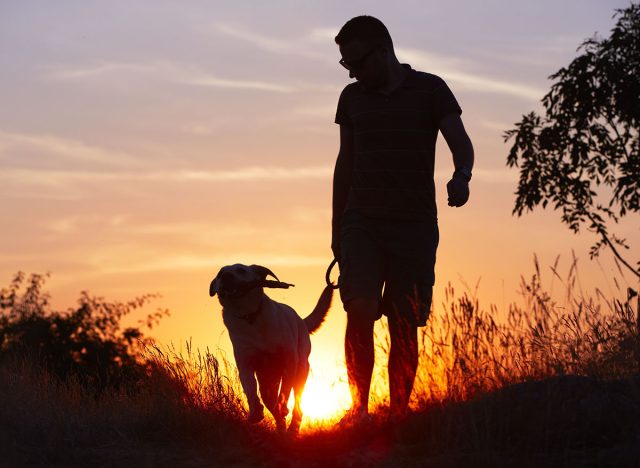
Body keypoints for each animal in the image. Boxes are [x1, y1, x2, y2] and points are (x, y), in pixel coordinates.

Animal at [210, 266, 332, 434]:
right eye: (220, 274)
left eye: (241, 270)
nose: (226, 276)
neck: (251, 317)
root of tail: (301, 320)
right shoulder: (245, 364)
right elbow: (249, 388)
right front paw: (256, 412)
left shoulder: (289, 361)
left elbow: (285, 390)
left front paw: (282, 405)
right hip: (267, 384)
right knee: (274, 408)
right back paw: (282, 431)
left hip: (301, 370)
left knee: (298, 405)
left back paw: (292, 428)